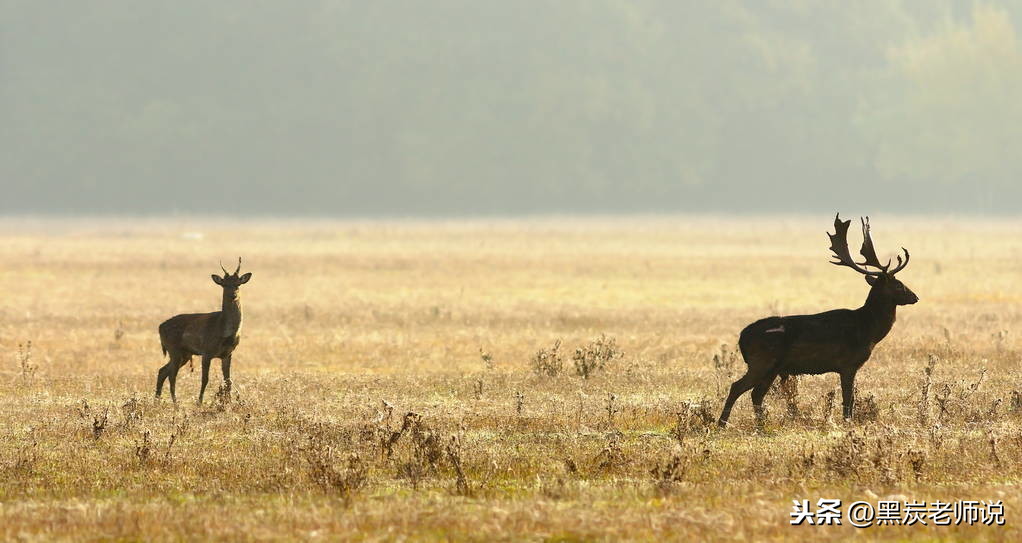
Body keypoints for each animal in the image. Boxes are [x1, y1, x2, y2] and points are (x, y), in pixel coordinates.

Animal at [155, 259, 251, 402]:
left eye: (238, 284)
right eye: (224, 284)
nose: (233, 295)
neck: (224, 331)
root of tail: (159, 327)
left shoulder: (228, 354)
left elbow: (228, 380)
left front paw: (228, 402)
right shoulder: (207, 351)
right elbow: (205, 379)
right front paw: (199, 402)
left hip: (184, 353)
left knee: (162, 371)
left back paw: (157, 400)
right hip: (174, 349)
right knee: (172, 376)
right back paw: (175, 403)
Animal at [715, 214, 923, 427]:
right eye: (898, 285)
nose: (915, 297)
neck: (868, 330)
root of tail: (742, 337)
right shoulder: (848, 364)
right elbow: (848, 398)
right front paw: (847, 422)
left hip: (773, 367)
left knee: (757, 394)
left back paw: (761, 425)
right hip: (761, 360)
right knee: (737, 387)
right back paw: (722, 423)